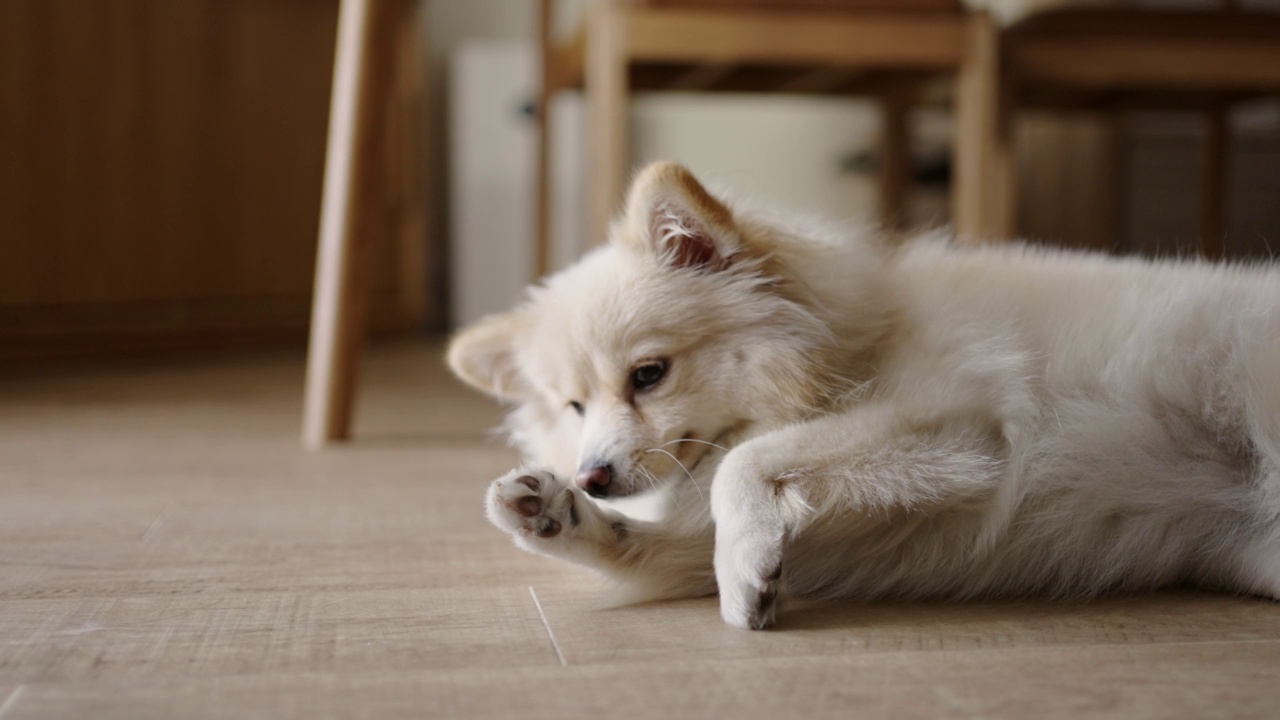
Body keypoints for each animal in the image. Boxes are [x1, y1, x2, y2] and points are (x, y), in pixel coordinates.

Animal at [448, 161, 1280, 627]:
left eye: (649, 374)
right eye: (573, 408)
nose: (590, 475)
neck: (851, 345)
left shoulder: (957, 427)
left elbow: (739, 468)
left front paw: (744, 575)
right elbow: (661, 545)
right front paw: (549, 512)